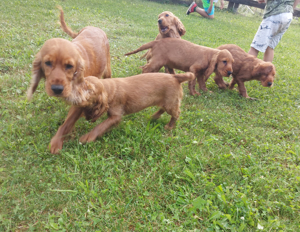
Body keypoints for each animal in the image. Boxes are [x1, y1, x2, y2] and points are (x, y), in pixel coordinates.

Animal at [47, 71, 195, 153]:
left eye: (89, 90)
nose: (63, 90)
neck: (109, 88)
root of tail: (175, 77)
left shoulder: (116, 116)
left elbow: (100, 126)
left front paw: (87, 137)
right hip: (166, 101)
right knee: (163, 109)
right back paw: (153, 117)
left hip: (171, 103)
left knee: (176, 113)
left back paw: (169, 126)